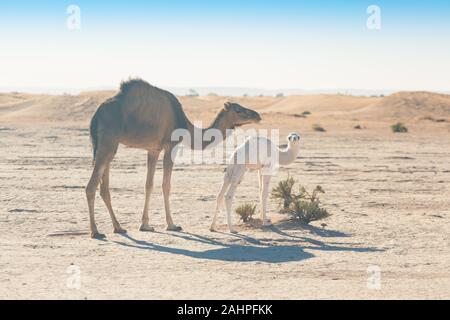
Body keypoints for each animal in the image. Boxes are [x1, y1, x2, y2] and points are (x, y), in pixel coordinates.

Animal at [85, 79, 260, 239]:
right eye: (238, 109)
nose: (257, 115)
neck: (183, 123)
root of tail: (96, 115)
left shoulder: (153, 149)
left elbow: (148, 185)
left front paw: (145, 225)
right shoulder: (170, 145)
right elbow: (166, 185)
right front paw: (172, 224)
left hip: (107, 144)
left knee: (104, 188)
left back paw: (118, 227)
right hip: (109, 141)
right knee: (91, 186)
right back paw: (96, 231)